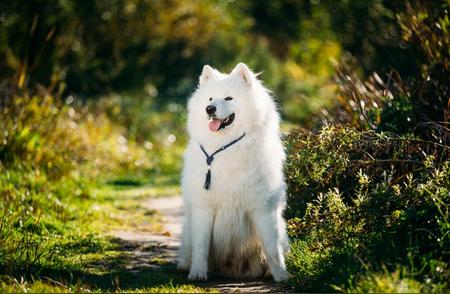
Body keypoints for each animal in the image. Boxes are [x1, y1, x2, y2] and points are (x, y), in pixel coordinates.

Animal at [177, 62, 288, 282]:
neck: (227, 147)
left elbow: (272, 248)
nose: (209, 109)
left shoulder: (264, 209)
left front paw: (282, 275)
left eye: (229, 98)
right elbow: (201, 247)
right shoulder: (203, 209)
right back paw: (185, 266)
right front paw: (198, 273)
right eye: (210, 99)